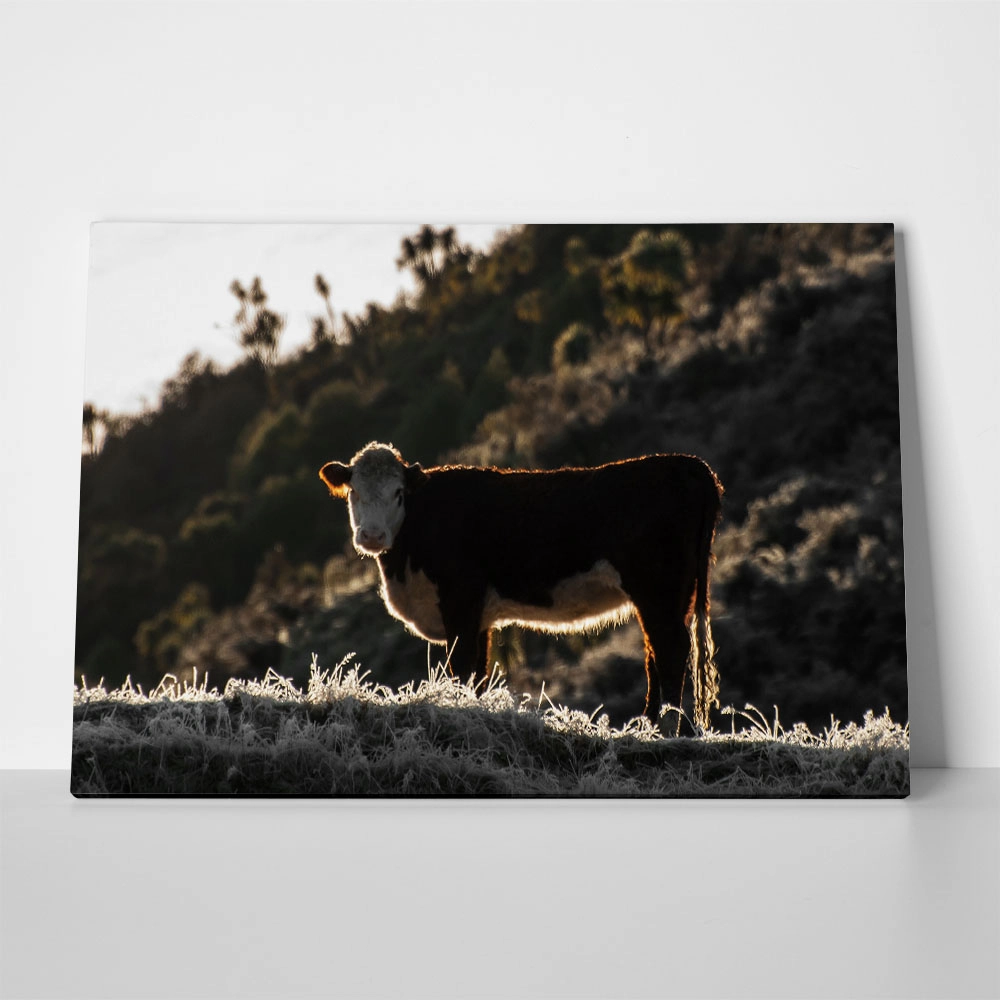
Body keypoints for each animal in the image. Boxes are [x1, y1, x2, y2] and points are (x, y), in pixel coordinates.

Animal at [319, 442, 723, 730]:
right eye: (354, 492)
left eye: (398, 493)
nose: (372, 536)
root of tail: (687, 464)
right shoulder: (479, 616)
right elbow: (478, 673)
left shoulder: (459, 601)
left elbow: (461, 667)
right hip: (673, 595)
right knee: (658, 651)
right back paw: (650, 727)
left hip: (657, 588)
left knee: (670, 650)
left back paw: (663, 729)